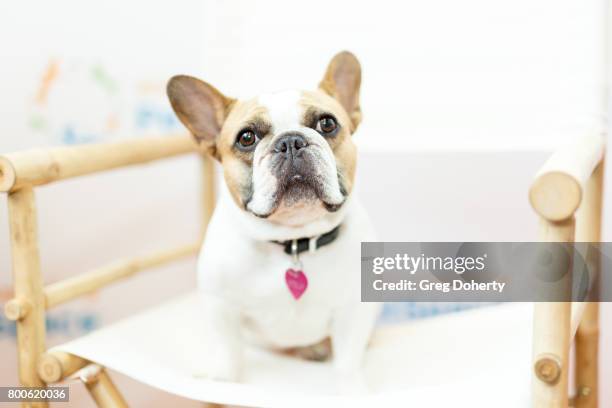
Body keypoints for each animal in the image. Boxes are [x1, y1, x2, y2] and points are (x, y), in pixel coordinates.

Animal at [165, 51, 380, 388]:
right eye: (246, 138)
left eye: (327, 123)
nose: (290, 141)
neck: (293, 243)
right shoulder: (221, 306)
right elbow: (227, 348)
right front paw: (224, 379)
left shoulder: (354, 311)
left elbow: (348, 358)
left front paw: (351, 388)